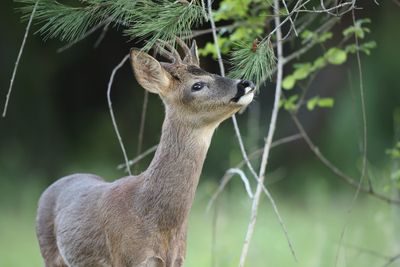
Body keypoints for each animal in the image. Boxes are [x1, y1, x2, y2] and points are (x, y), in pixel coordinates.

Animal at [38, 39, 256, 267]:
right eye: (197, 85)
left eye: (211, 72)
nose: (245, 83)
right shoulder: (131, 258)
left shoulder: (178, 259)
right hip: (49, 255)